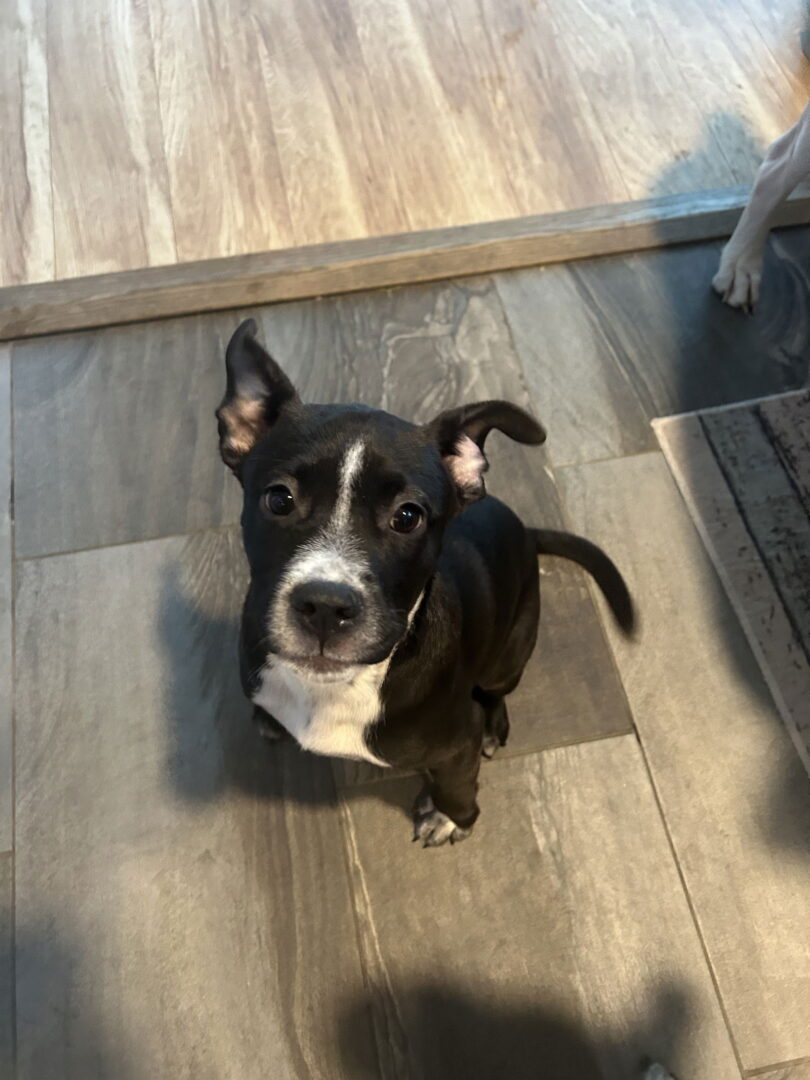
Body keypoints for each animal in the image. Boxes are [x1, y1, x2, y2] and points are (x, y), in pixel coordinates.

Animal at [217, 319, 634, 846]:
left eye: (408, 517)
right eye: (279, 499)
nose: (326, 607)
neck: (334, 688)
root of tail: (524, 529)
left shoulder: (456, 743)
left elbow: (457, 784)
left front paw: (451, 816)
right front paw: (267, 717)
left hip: (511, 649)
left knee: (497, 690)